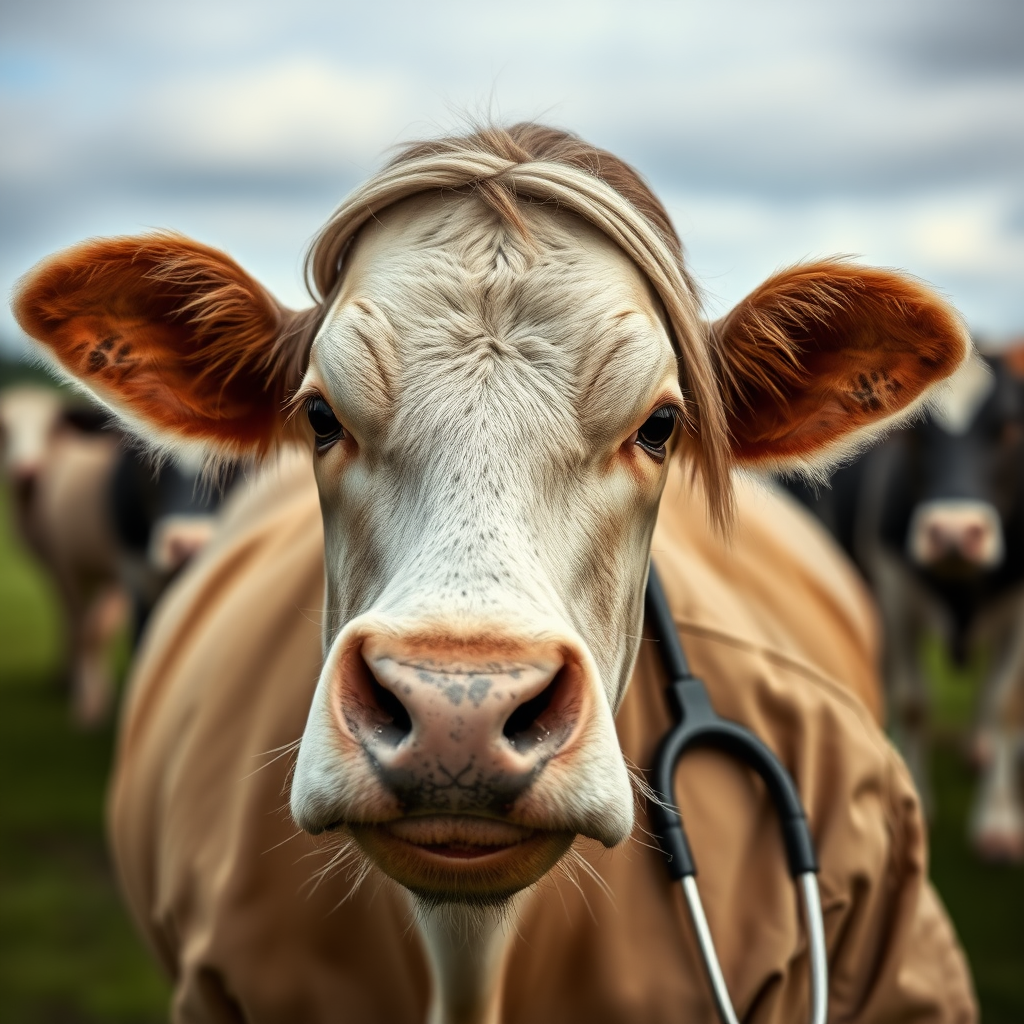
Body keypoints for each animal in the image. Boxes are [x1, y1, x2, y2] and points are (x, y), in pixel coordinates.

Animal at [786, 348, 1024, 860]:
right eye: (912, 434)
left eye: (1009, 427)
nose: (953, 532)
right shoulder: (892, 591)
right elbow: (914, 700)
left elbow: (1006, 702)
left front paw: (998, 820)